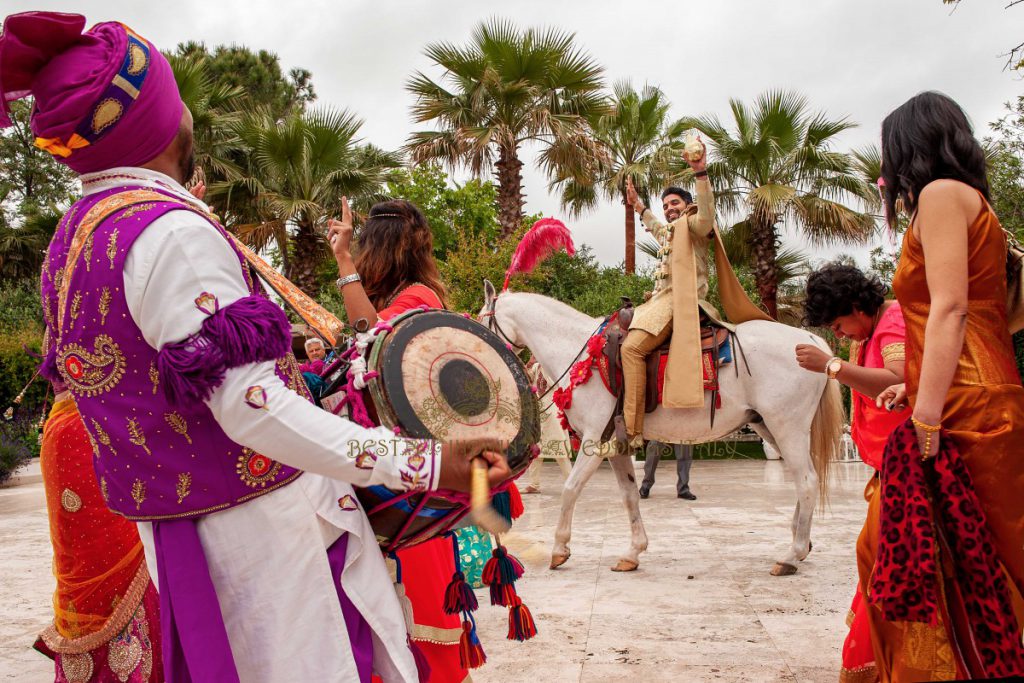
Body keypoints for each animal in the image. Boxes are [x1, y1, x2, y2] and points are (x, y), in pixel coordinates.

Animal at [483, 282, 843, 577]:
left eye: (483, 321)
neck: (583, 353)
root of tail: (812, 340)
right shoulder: (617, 445)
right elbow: (630, 495)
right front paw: (633, 552)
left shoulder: (594, 442)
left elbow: (571, 488)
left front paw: (559, 549)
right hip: (769, 427)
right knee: (803, 480)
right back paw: (802, 542)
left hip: (787, 428)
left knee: (807, 482)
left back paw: (792, 555)